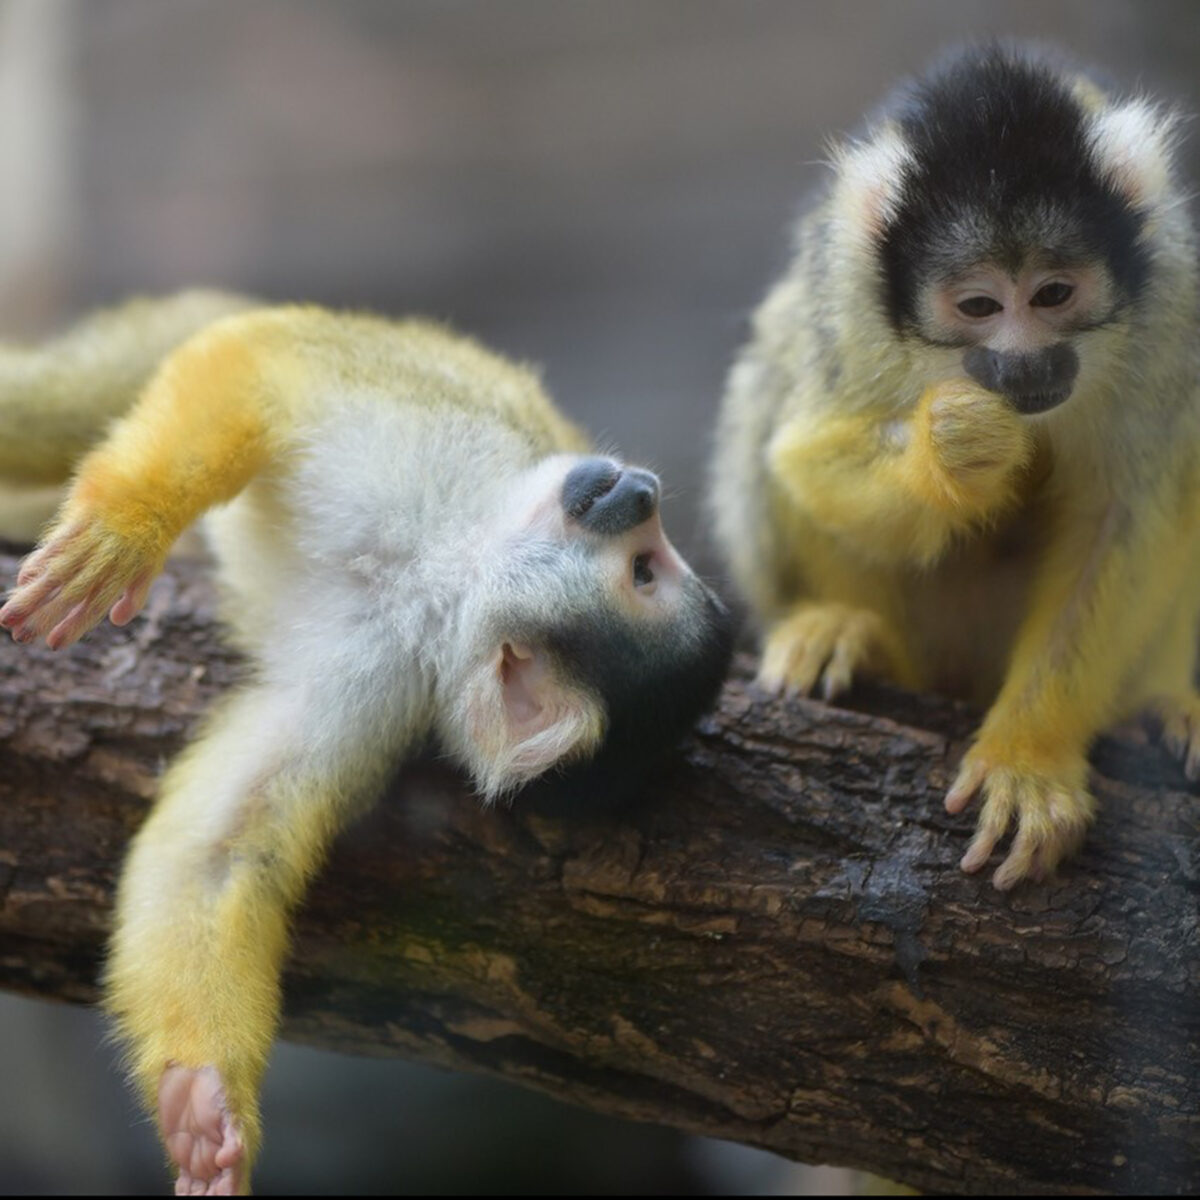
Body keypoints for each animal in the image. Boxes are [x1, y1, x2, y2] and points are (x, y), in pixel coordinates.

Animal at [0, 292, 729, 1200]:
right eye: (648, 567)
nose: (637, 488)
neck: (437, 578)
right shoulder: (440, 446)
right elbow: (255, 366)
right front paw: (126, 530)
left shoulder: (385, 686)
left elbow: (217, 850)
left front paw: (203, 1100)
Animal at [710, 44, 1200, 892]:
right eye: (979, 307)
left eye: (1053, 294)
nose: (1024, 363)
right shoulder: (849, 293)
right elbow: (806, 454)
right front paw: (955, 450)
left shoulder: (1169, 285)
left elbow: (1126, 515)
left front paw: (1027, 756)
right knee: (773, 370)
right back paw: (848, 635)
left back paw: (1158, 703)